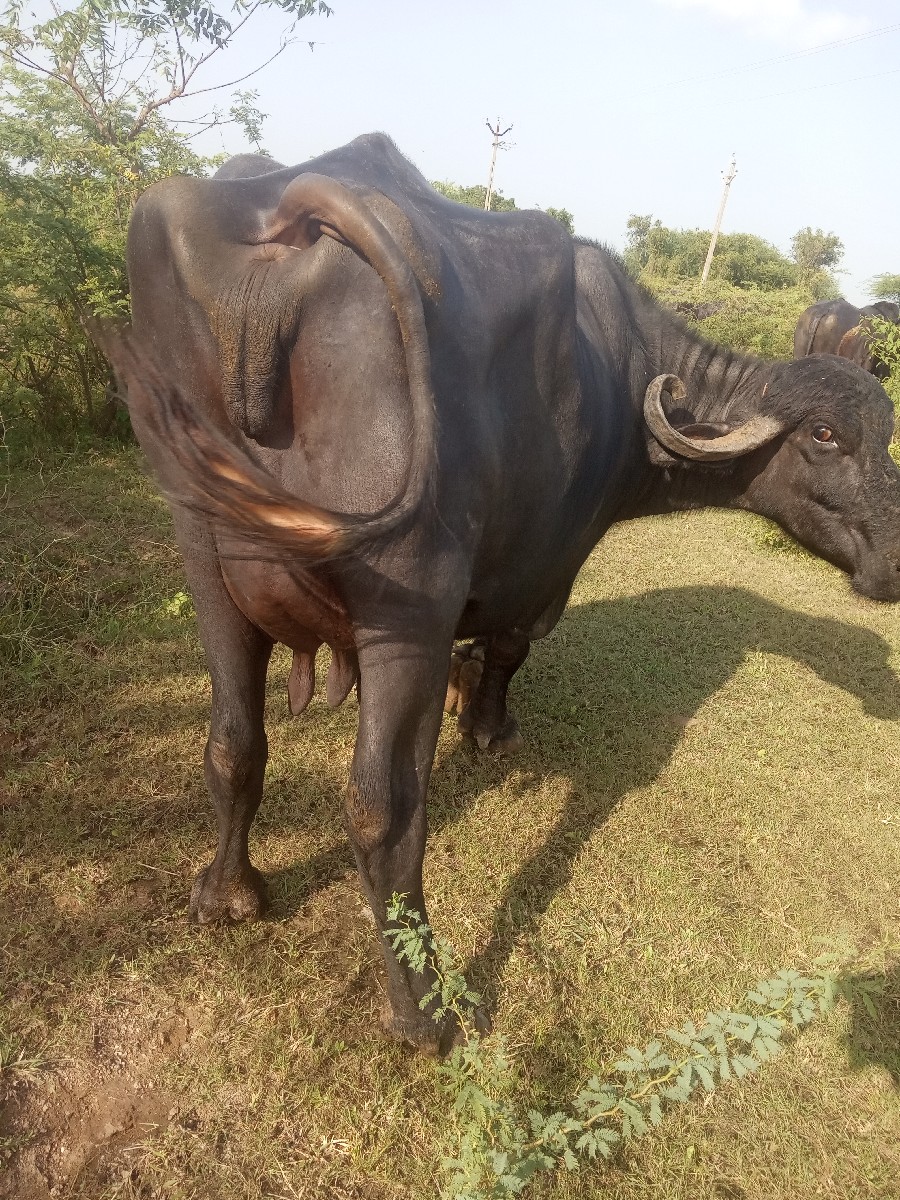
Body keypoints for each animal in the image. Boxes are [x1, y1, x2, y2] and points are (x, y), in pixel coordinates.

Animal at [110, 133, 900, 1052]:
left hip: (205, 560)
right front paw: (488, 726)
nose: (893, 557)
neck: (622, 375)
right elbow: (510, 647)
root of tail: (285, 212)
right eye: (826, 434)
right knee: (383, 806)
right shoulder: (547, 560)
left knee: (234, 741)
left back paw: (226, 892)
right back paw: (424, 1009)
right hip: (404, 605)